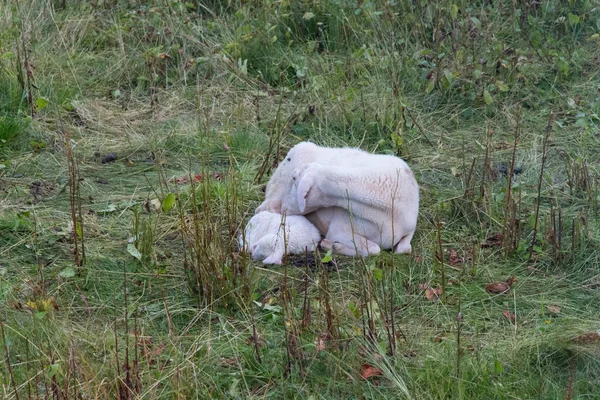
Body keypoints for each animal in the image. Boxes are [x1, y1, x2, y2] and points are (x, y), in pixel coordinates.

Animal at [255, 142, 420, 256]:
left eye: (295, 178)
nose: (284, 207)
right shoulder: (338, 229)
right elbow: (374, 249)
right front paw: (332, 246)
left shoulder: (409, 230)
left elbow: (402, 249)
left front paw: (333, 246)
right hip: (275, 191)